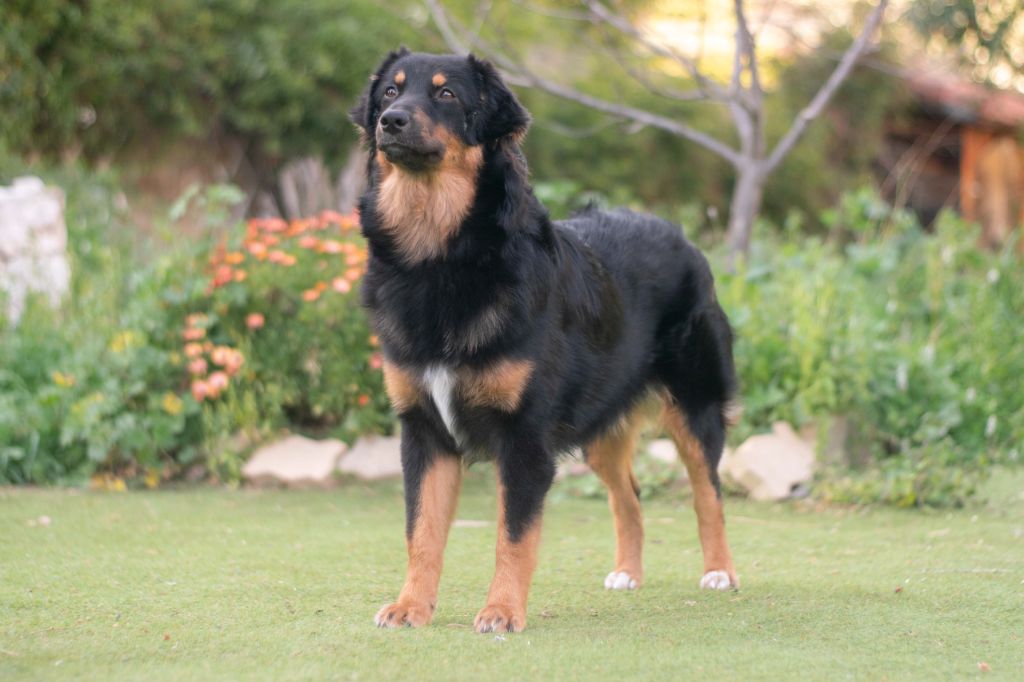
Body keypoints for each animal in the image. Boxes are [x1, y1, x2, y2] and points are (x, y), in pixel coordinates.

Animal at [352, 47, 737, 630]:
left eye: (446, 94)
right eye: (391, 92)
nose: (390, 122)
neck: (441, 256)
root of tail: (678, 232)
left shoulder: (525, 437)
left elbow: (513, 536)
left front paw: (502, 611)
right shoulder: (423, 430)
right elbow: (421, 532)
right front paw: (411, 606)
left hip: (695, 407)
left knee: (707, 493)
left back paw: (719, 572)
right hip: (600, 426)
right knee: (629, 496)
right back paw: (628, 572)